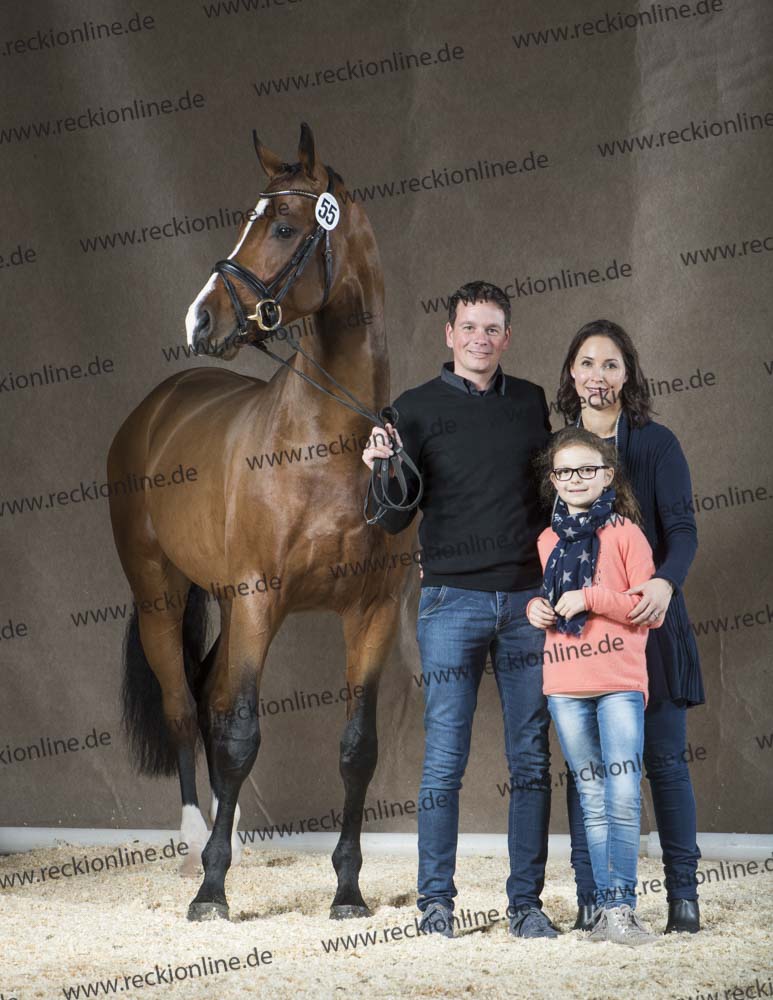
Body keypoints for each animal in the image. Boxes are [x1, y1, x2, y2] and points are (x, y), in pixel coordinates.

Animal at [107, 123, 417, 921]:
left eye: (282, 226)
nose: (200, 318)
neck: (325, 441)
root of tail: (156, 406)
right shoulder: (258, 598)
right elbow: (242, 735)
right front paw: (213, 892)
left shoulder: (370, 611)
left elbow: (357, 749)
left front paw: (348, 891)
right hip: (163, 597)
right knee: (186, 711)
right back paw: (197, 846)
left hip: (220, 601)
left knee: (212, 699)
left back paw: (231, 832)